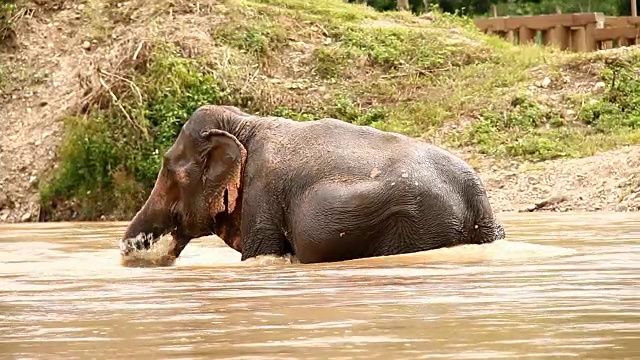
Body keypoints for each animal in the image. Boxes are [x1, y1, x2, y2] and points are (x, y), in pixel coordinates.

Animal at [119, 104, 504, 264]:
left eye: (173, 172)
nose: (133, 250)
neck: (244, 122)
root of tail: (477, 202)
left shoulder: (262, 192)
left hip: (415, 225)